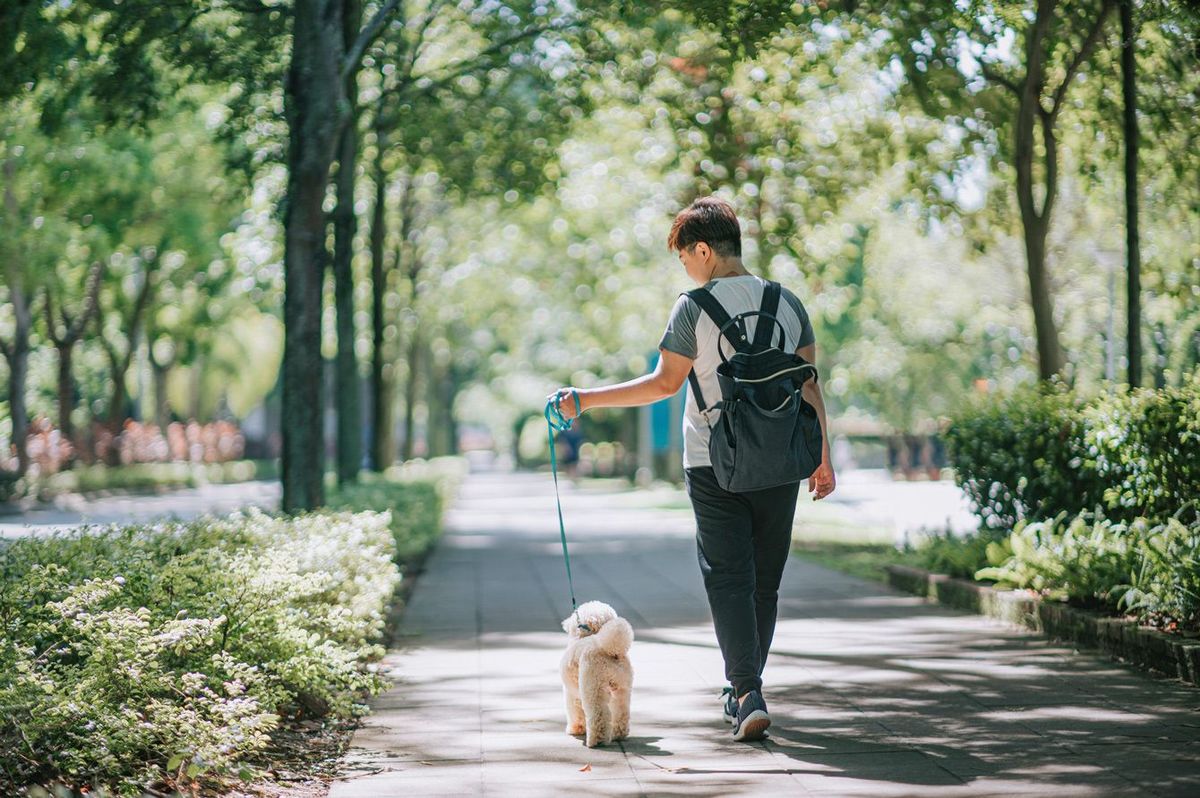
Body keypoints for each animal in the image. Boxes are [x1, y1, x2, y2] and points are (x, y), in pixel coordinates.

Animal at [561, 600, 638, 744]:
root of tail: (609, 650)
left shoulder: (571, 693)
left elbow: (575, 711)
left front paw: (576, 728)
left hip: (593, 686)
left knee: (598, 715)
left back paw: (597, 740)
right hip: (622, 687)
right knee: (621, 712)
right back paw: (618, 734)